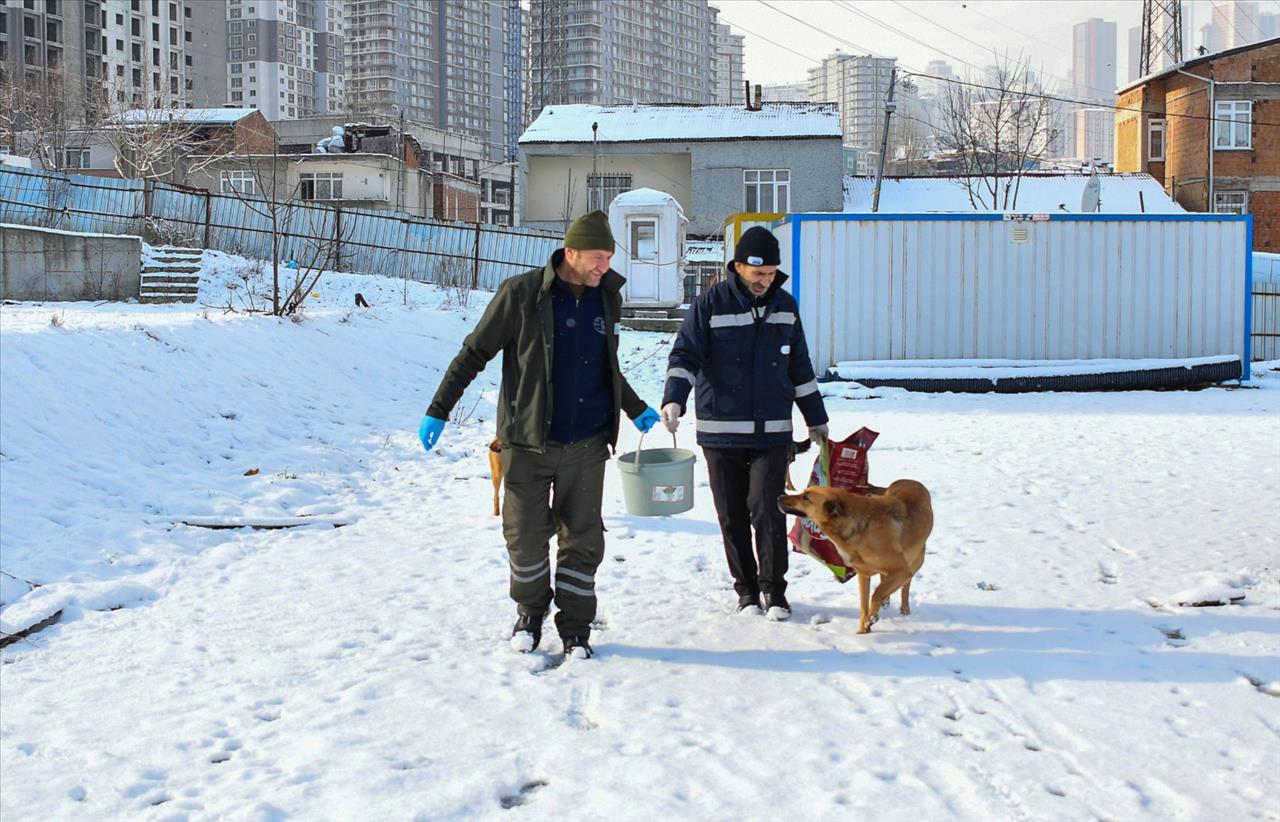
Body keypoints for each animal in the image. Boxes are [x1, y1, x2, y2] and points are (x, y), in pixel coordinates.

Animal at [773, 481, 936, 635]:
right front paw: (863, 631)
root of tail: (911, 481)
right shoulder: (863, 574)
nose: (779, 497)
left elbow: (876, 594)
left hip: (915, 560)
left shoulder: (901, 570)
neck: (862, 528)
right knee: (887, 582)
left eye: (806, 498)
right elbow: (864, 605)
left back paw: (904, 609)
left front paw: (872, 618)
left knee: (904, 585)